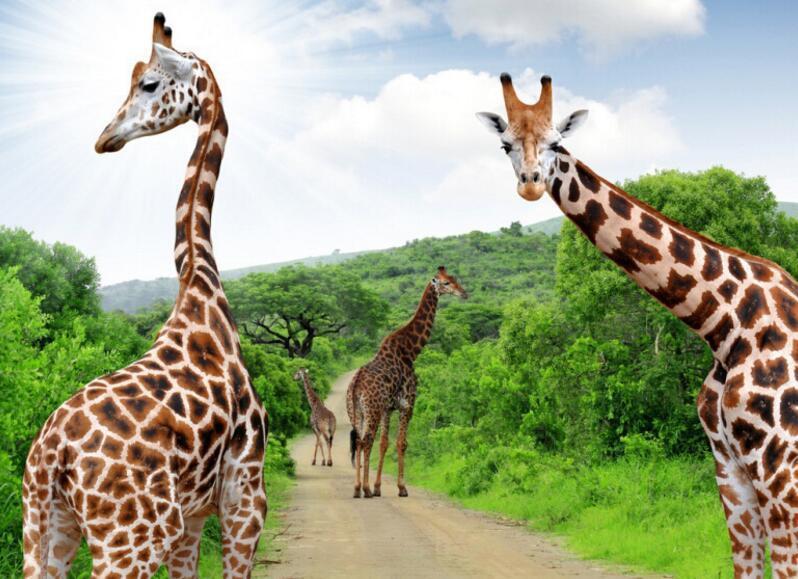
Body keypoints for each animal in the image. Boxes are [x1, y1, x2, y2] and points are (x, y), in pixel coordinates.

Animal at [21, 14, 268, 578]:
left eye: (149, 84)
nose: (105, 138)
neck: (201, 286)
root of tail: (50, 456)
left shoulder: (196, 514)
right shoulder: (247, 493)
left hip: (45, 527)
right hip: (132, 537)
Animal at [347, 266, 467, 499]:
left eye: (454, 278)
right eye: (446, 283)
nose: (464, 293)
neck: (410, 351)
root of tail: (355, 384)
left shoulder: (388, 408)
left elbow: (384, 443)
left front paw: (378, 487)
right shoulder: (407, 404)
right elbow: (401, 443)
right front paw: (401, 488)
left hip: (356, 412)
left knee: (359, 441)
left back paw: (358, 488)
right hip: (372, 411)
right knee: (366, 442)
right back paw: (364, 488)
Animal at [477, 72, 798, 578]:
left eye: (556, 142)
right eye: (505, 144)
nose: (530, 184)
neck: (727, 323)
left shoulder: (780, 471)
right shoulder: (731, 471)